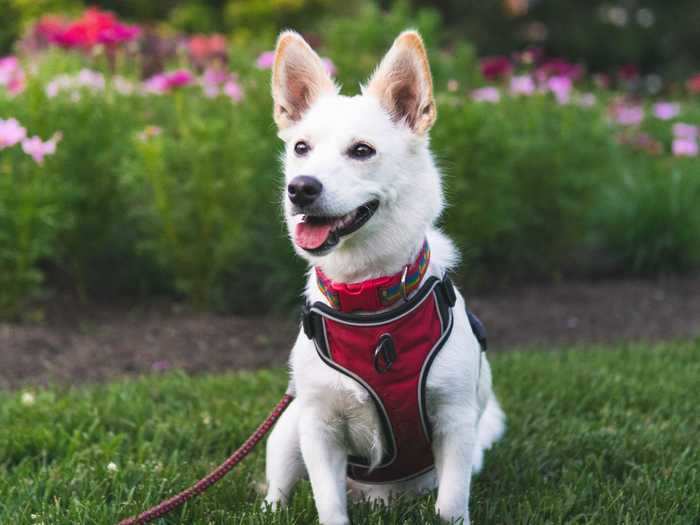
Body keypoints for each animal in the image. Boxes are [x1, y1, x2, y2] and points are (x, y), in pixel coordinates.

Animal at [262, 29, 504, 524]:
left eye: (362, 151)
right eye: (301, 148)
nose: (300, 188)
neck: (368, 297)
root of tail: (378, 496)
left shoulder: (455, 421)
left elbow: (451, 503)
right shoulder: (319, 429)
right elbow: (328, 503)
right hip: (287, 432)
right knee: (278, 489)